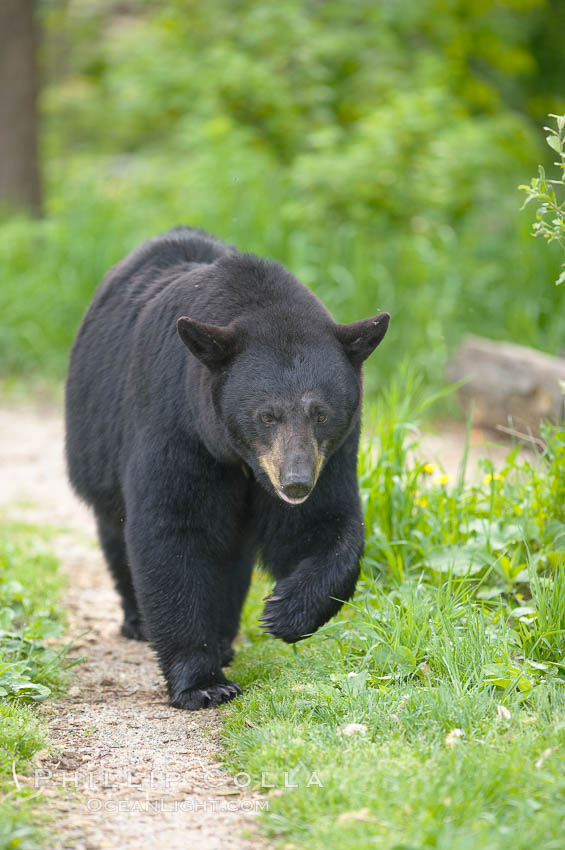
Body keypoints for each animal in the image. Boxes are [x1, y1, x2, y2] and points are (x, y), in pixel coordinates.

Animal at [65, 226, 389, 710]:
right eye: (266, 415)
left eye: (321, 413)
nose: (296, 482)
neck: (239, 458)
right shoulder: (176, 423)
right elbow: (171, 532)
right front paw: (202, 682)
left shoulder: (331, 453)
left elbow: (325, 525)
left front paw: (285, 611)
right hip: (95, 440)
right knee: (116, 528)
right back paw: (139, 621)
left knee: (232, 556)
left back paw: (223, 636)